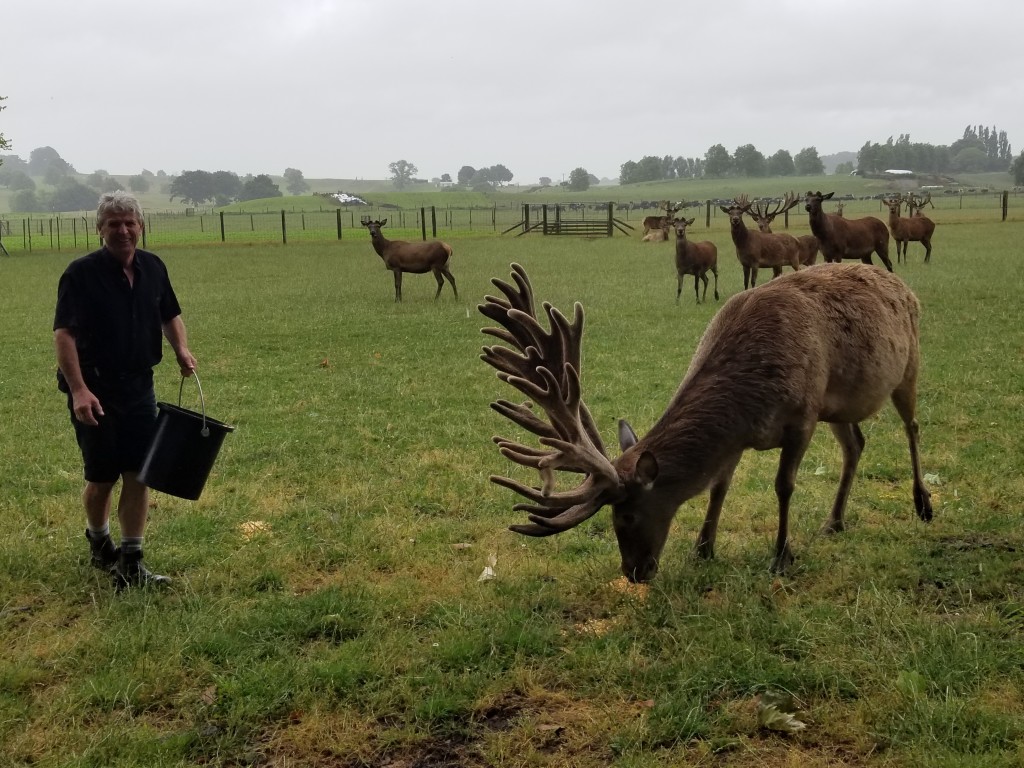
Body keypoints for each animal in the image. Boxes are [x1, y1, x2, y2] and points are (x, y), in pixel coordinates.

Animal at [475, 264, 933, 581]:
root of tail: (903, 285)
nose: (633, 572)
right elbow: (717, 486)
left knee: (912, 427)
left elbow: (783, 486)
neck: (751, 399)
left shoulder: (803, 415)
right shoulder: (742, 437)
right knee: (855, 444)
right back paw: (834, 521)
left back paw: (923, 503)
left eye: (626, 516)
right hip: (839, 406)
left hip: (908, 363)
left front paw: (781, 555)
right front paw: (702, 548)